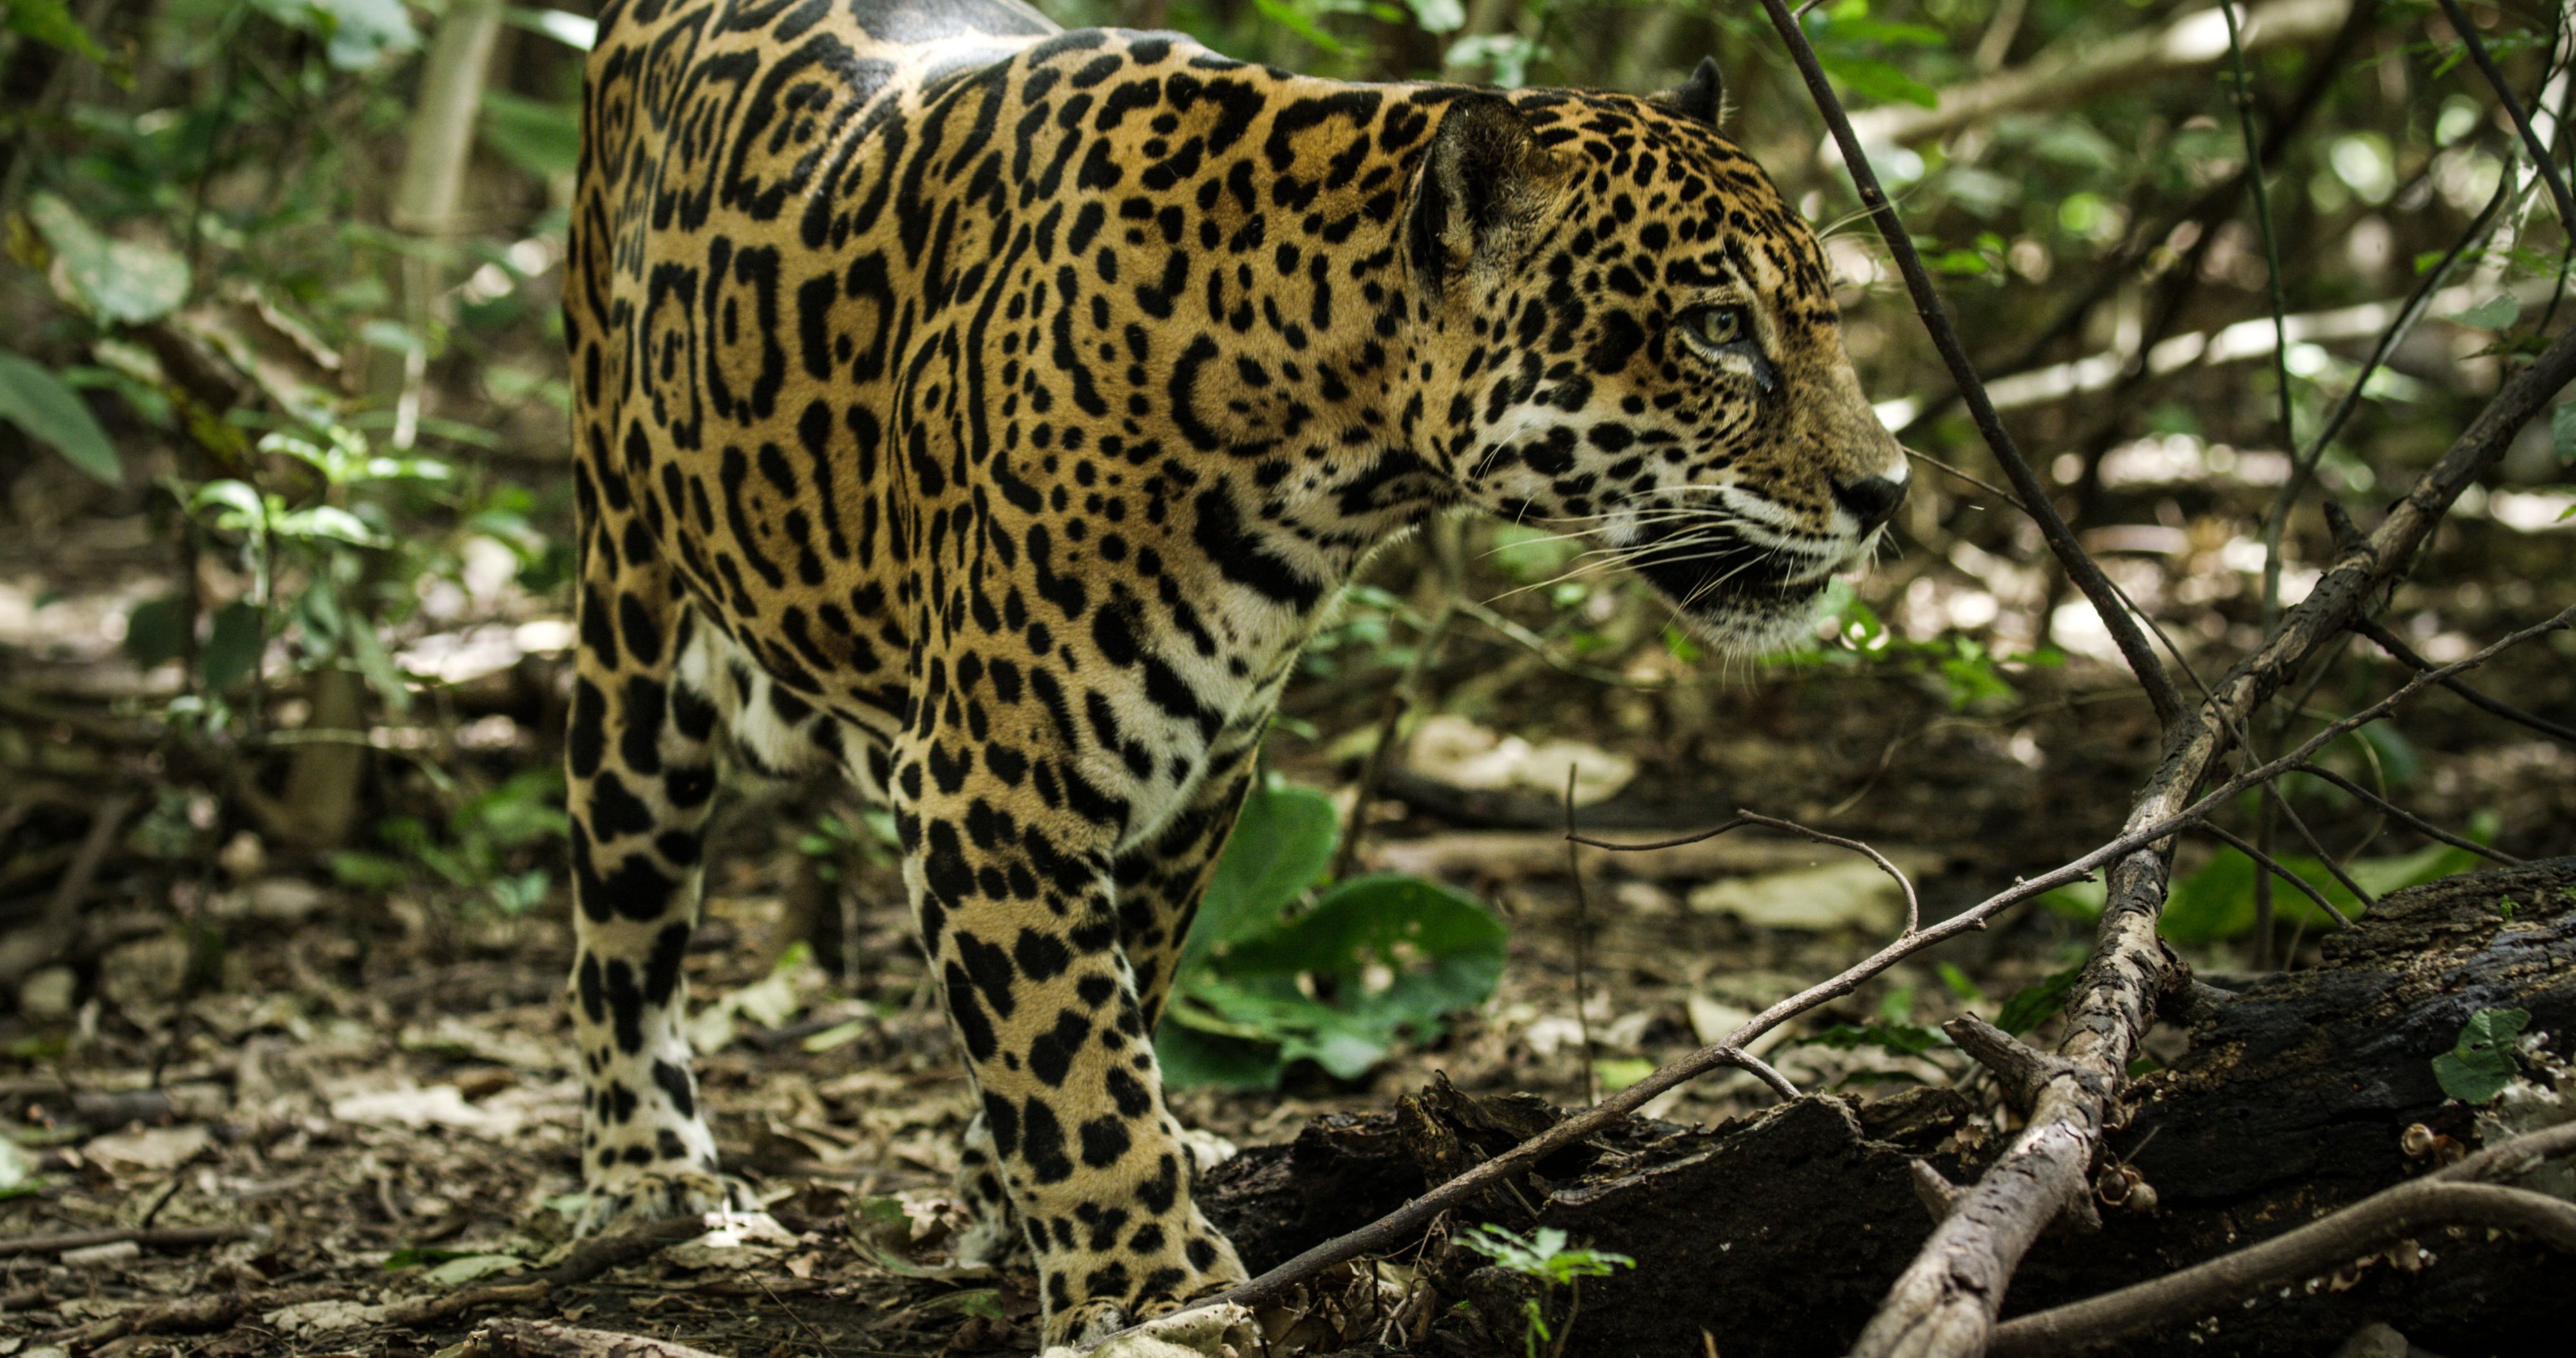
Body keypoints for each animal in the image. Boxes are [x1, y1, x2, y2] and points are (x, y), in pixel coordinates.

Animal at [560, 0, 1908, 1345]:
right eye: (1717, 328)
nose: (1887, 489)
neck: (1327, 435)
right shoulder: (990, 778)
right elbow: (1068, 1045)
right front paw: (1146, 1283)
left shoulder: (1196, 772)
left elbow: (1115, 993)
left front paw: (1010, 1202)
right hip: (630, 622)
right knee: (621, 932)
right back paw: (648, 1172)